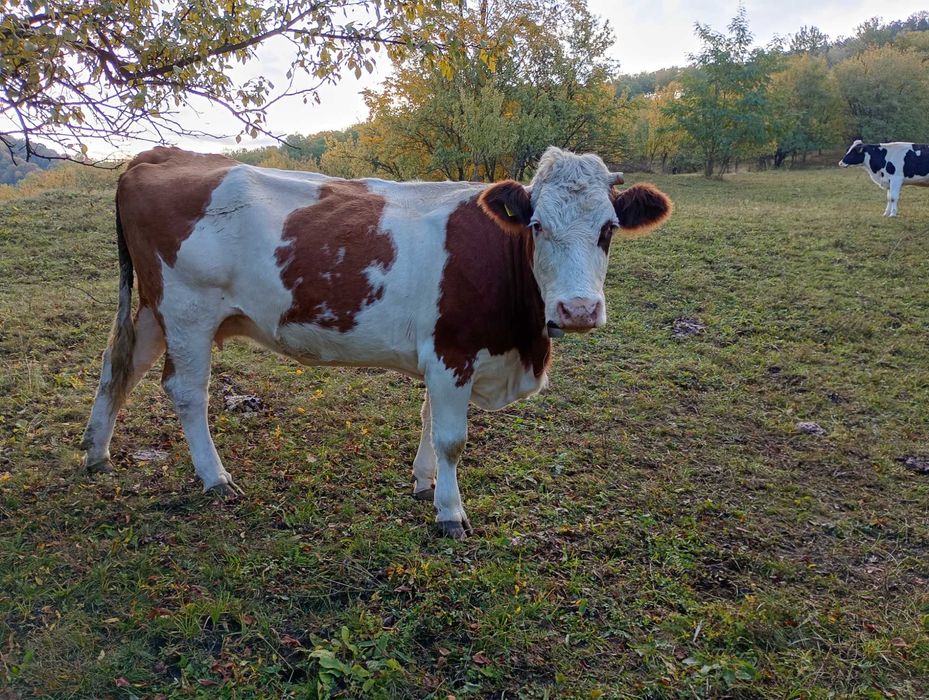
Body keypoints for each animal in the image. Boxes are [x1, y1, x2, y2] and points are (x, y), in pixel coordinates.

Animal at [80, 146, 672, 538]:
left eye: (608, 229)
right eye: (538, 226)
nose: (578, 310)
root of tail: (163, 155)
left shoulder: (442, 355)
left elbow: (429, 420)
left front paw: (424, 483)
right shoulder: (453, 351)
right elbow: (452, 438)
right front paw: (450, 513)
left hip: (156, 309)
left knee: (119, 366)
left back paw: (96, 453)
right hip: (188, 310)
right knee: (185, 392)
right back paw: (215, 478)